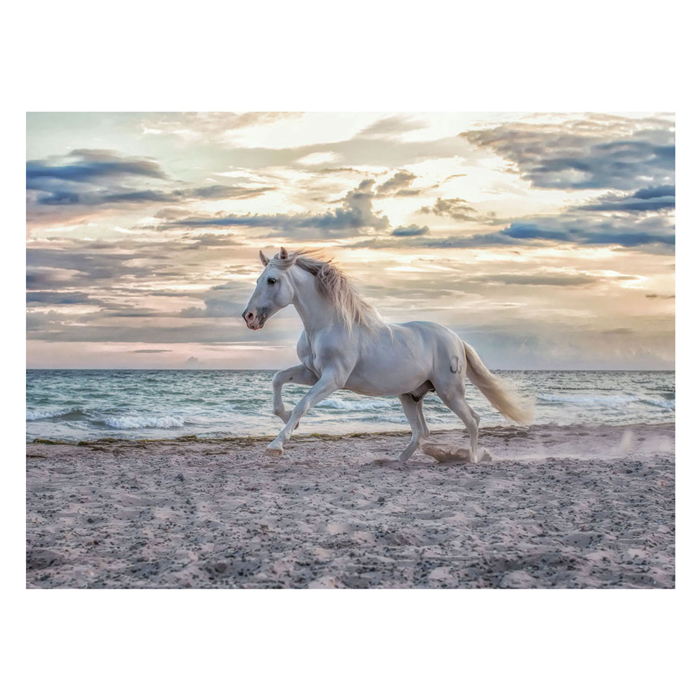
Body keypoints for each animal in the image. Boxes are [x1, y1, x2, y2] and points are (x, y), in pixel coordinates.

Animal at [243, 249, 532, 462]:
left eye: (271, 280)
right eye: (257, 280)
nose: (249, 317)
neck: (327, 325)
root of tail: (456, 339)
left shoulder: (333, 378)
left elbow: (303, 404)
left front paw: (277, 445)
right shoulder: (312, 373)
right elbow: (278, 380)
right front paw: (287, 421)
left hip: (449, 391)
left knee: (472, 419)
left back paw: (472, 459)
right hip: (410, 395)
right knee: (421, 431)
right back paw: (397, 461)